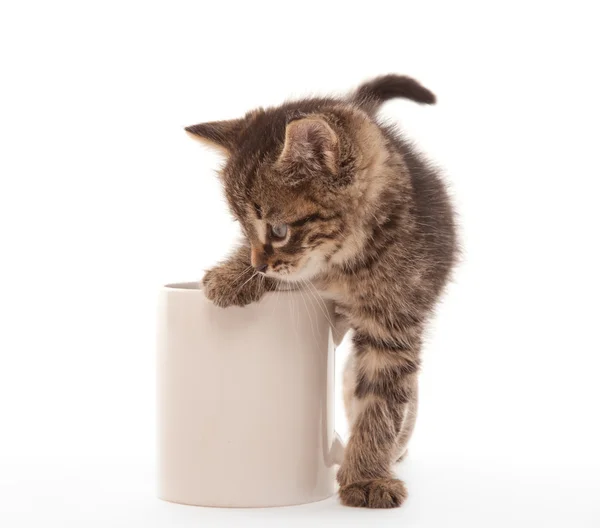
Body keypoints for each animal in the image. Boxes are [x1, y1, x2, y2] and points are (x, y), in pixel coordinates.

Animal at [185, 74, 458, 508]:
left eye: (278, 230)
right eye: (244, 229)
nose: (258, 264)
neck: (345, 262)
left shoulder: (393, 326)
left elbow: (381, 403)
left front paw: (367, 476)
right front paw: (232, 276)